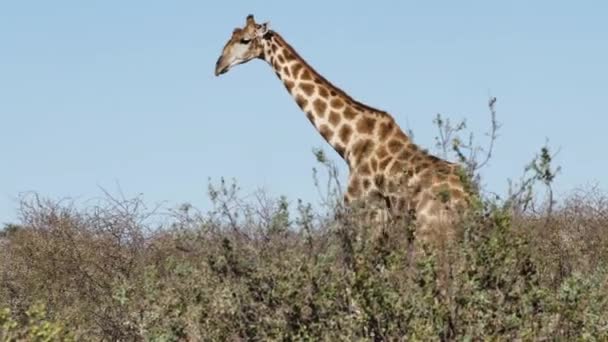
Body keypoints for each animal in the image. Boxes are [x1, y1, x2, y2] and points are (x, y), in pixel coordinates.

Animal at [214, 14, 470, 243]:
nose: (218, 66)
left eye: (245, 40)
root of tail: (467, 200)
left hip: (430, 231)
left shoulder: (365, 211)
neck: (350, 143)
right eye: (232, 35)